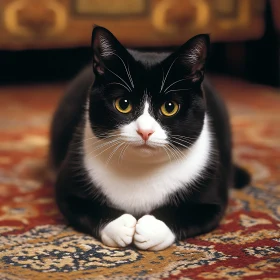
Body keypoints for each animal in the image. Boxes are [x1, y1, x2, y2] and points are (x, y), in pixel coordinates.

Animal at [49, 25, 249, 250]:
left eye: (170, 107)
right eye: (123, 104)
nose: (145, 131)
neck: (141, 169)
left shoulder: (213, 195)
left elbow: (197, 212)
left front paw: (152, 229)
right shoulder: (69, 183)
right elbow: (80, 205)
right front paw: (119, 226)